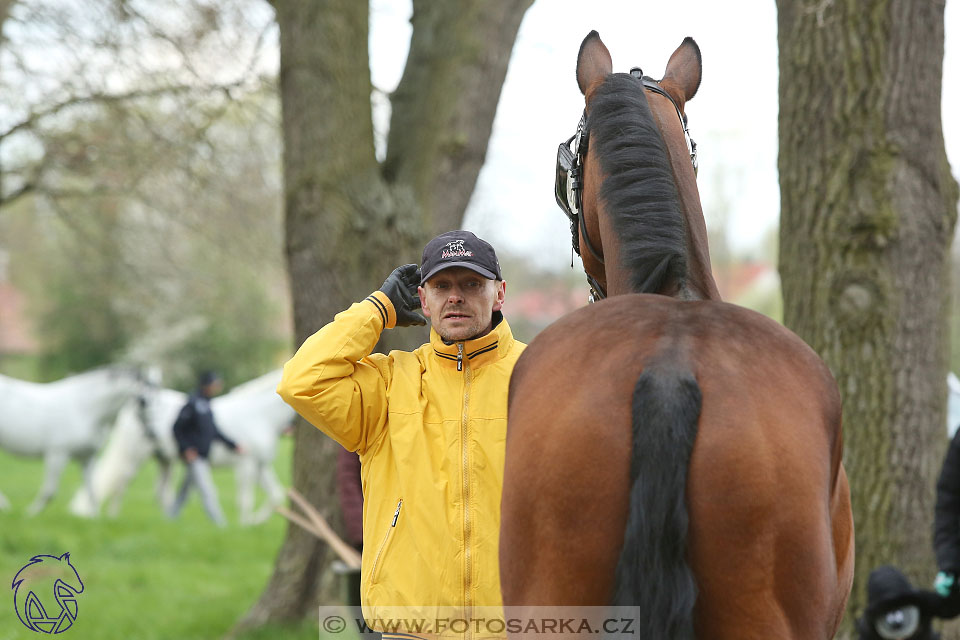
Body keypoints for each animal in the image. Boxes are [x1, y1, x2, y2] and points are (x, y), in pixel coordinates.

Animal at [0, 368, 144, 512]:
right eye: (143, 400)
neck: (86, 410)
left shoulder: (87, 457)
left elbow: (91, 491)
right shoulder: (57, 454)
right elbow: (50, 490)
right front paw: (31, 512)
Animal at [69, 370, 294, 524]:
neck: (259, 416)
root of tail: (130, 409)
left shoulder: (261, 466)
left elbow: (275, 495)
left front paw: (255, 522)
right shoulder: (246, 466)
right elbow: (245, 499)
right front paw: (244, 524)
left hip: (164, 460)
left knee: (161, 492)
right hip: (134, 457)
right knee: (121, 484)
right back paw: (113, 517)